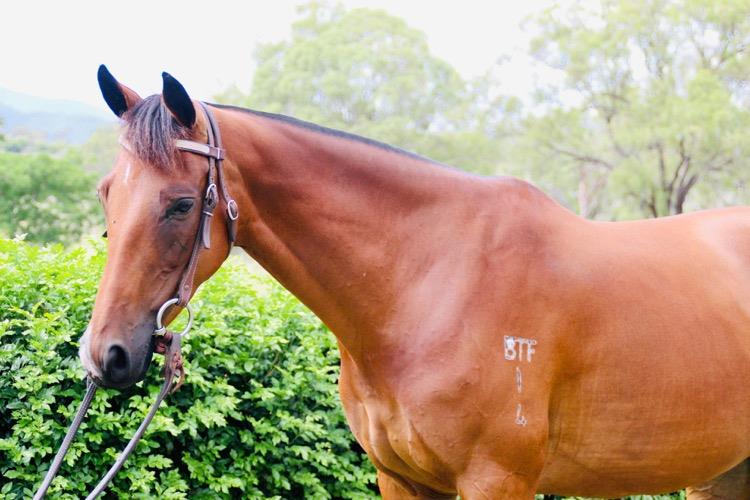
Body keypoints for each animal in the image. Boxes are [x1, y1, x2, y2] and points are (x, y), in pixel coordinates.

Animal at [78, 65, 750, 499]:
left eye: (180, 204)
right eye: (107, 192)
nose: (105, 353)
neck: (426, 285)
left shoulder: (496, 481)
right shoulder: (400, 479)